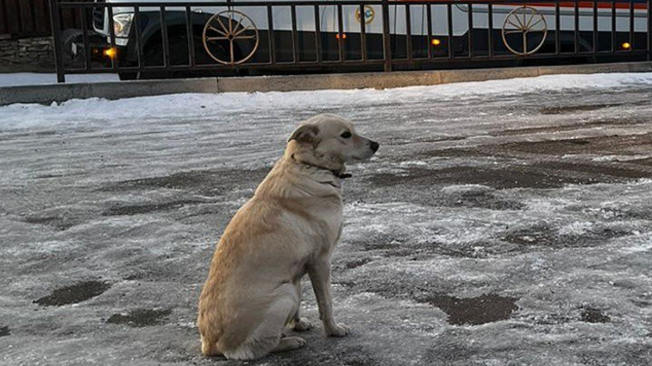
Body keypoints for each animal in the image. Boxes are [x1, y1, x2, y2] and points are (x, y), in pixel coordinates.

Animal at [196, 113, 380, 358]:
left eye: (353, 130)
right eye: (345, 135)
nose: (376, 144)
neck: (309, 165)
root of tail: (210, 345)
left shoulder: (298, 269)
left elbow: (304, 303)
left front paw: (298, 323)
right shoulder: (321, 261)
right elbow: (326, 303)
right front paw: (333, 330)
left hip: (289, 287)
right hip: (285, 294)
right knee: (253, 349)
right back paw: (289, 342)